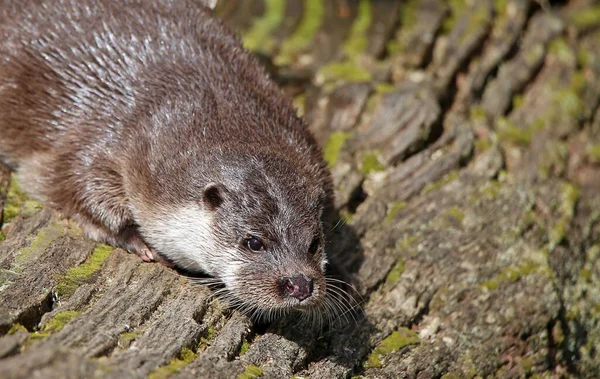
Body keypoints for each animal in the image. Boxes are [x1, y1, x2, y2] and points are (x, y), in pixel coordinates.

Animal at [0, 0, 338, 314]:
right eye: (253, 242)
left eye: (314, 243)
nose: (300, 283)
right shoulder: (100, 139)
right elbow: (74, 183)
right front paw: (141, 242)